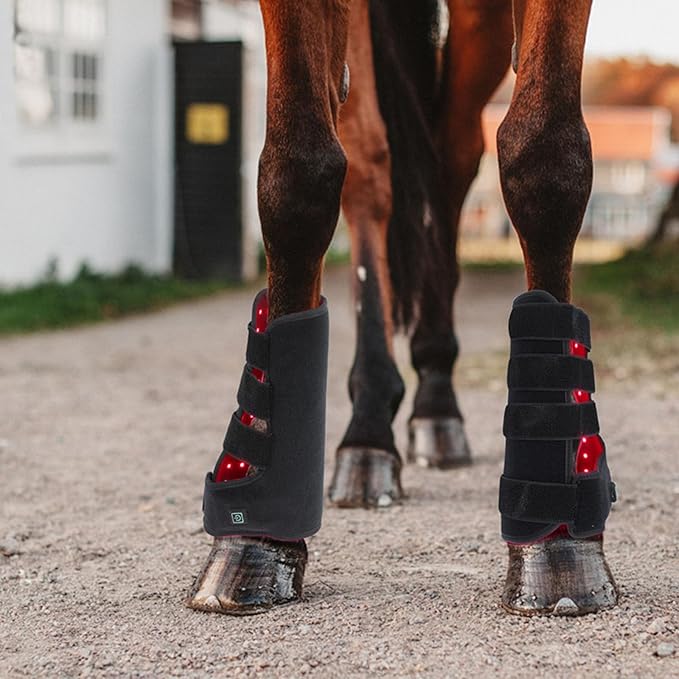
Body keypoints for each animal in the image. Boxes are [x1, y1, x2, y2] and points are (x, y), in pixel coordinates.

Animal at [187, 0, 618, 617]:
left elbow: (546, 159)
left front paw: (560, 548)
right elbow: (297, 173)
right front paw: (255, 542)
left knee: (452, 156)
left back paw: (436, 401)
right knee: (372, 168)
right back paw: (369, 431)